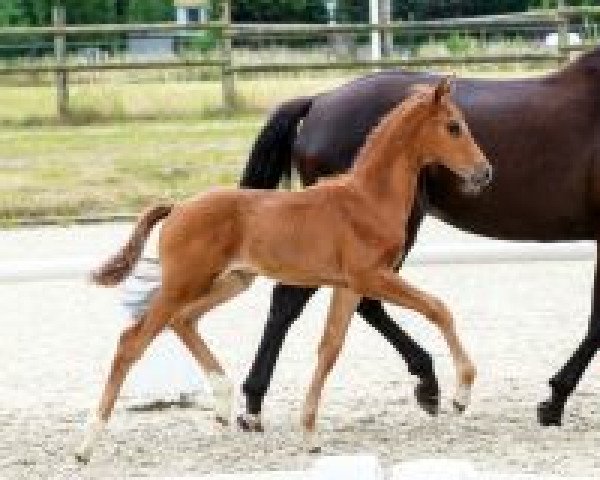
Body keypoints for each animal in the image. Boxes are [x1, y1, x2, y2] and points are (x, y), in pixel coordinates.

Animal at [77, 79, 490, 462]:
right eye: (454, 126)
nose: (484, 172)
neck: (367, 199)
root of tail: (177, 207)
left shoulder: (348, 285)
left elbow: (330, 348)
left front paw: (309, 434)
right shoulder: (371, 276)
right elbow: (438, 308)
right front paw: (461, 394)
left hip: (230, 282)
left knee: (183, 321)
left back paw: (223, 404)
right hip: (185, 282)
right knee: (132, 341)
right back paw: (87, 444)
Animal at [239, 46, 600, 428]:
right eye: (454, 127)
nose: (485, 173)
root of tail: (320, 101)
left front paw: (554, 399)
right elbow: (597, 322)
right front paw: (555, 400)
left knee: (354, 302)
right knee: (294, 301)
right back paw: (254, 402)